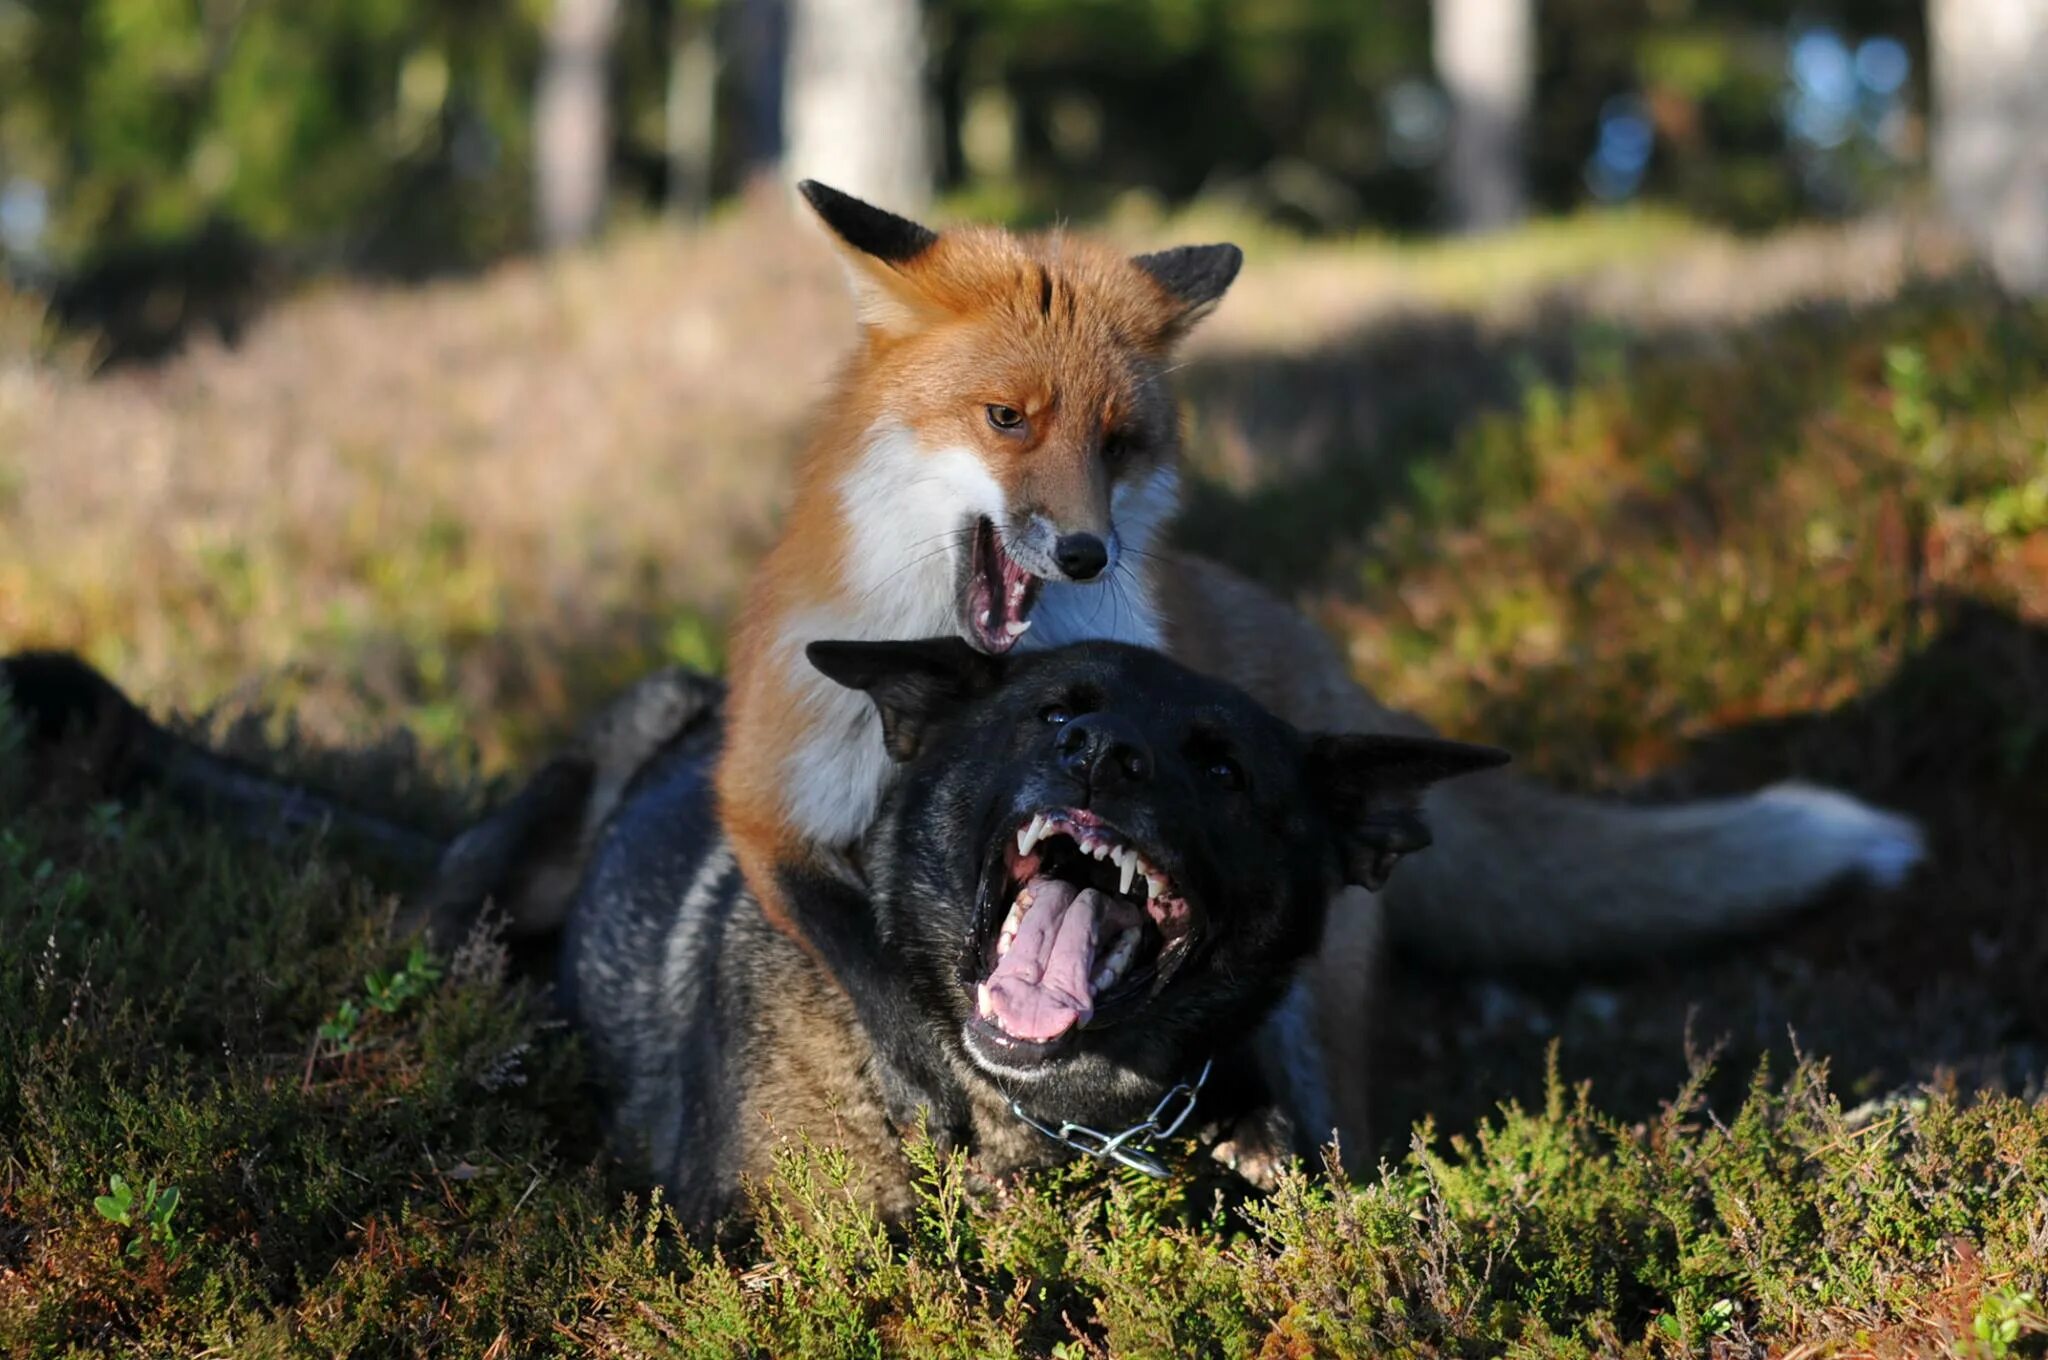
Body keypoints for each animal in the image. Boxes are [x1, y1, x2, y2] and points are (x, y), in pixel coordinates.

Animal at [708, 180, 1916, 1155]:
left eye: (1119, 444)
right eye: (1006, 418)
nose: (1088, 551)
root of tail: (1322, 661)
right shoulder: (769, 798)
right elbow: (868, 962)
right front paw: (936, 1079)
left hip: (1315, 1014)